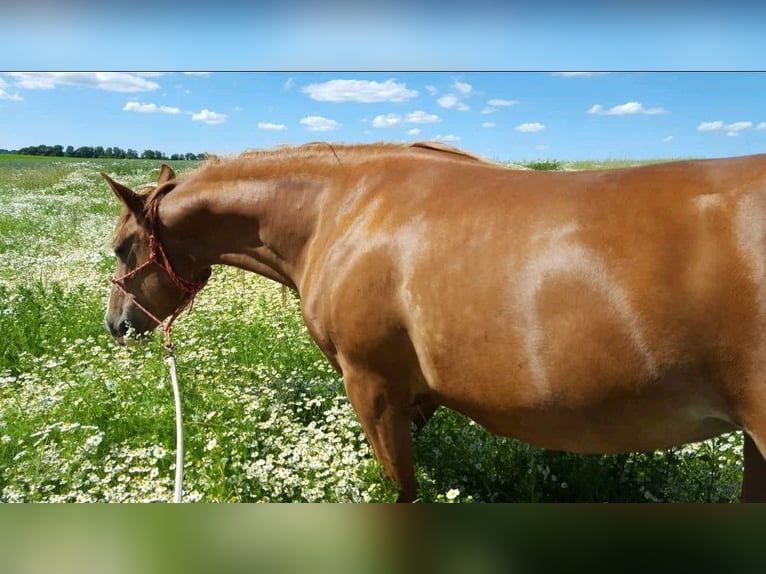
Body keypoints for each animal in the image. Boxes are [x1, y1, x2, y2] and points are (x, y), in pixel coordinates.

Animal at [103, 143, 766, 504]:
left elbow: (400, 485)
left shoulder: (371, 387)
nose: (116, 325)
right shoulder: (417, 396)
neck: (341, 210)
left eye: (121, 249)